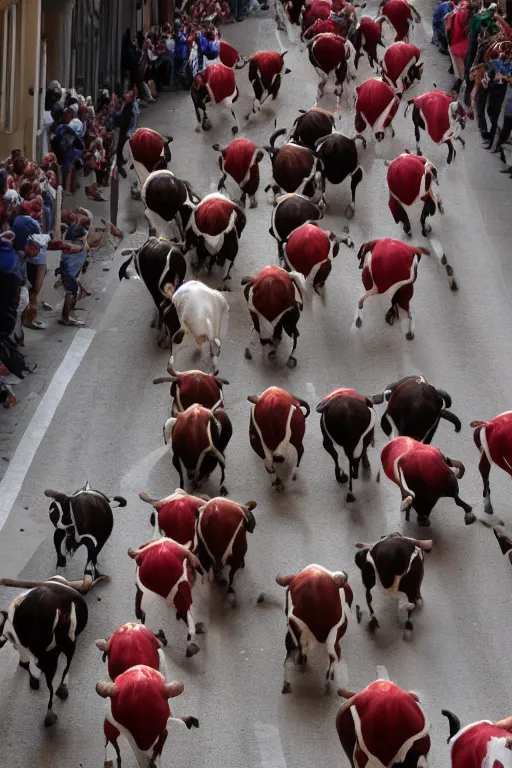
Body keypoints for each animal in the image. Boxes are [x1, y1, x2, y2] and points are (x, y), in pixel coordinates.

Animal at [0, 576, 91, 728]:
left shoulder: (25, 647)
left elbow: (25, 664)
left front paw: (34, 681)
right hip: (67, 647)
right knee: (65, 668)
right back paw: (61, 693)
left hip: (49, 655)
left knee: (49, 681)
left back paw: (49, 714)